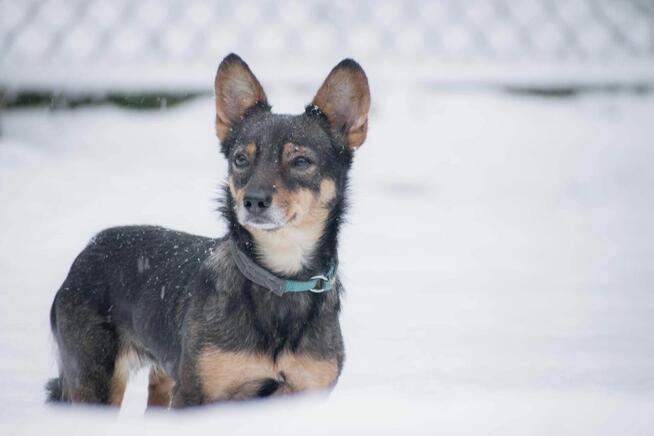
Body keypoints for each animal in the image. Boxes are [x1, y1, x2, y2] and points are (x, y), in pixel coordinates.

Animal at [45, 54, 372, 408]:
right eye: (241, 159)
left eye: (300, 161)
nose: (253, 201)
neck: (280, 278)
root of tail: (90, 247)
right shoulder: (195, 393)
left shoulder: (306, 393)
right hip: (94, 381)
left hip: (163, 378)